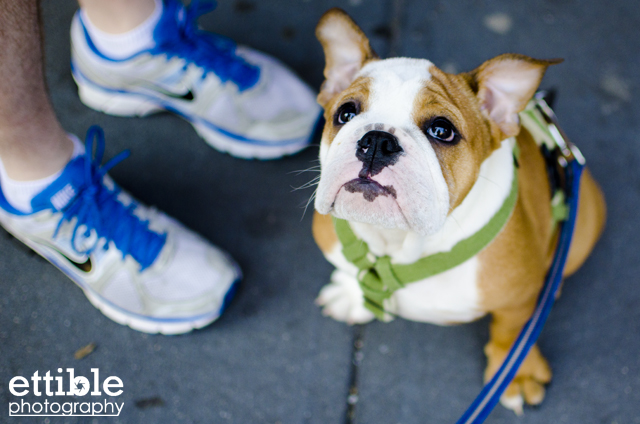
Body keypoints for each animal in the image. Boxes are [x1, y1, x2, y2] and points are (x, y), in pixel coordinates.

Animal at [310, 8, 604, 414]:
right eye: (346, 113)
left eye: (441, 130)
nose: (377, 141)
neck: (398, 243)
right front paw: (353, 295)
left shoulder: (516, 301)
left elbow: (510, 332)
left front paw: (517, 372)